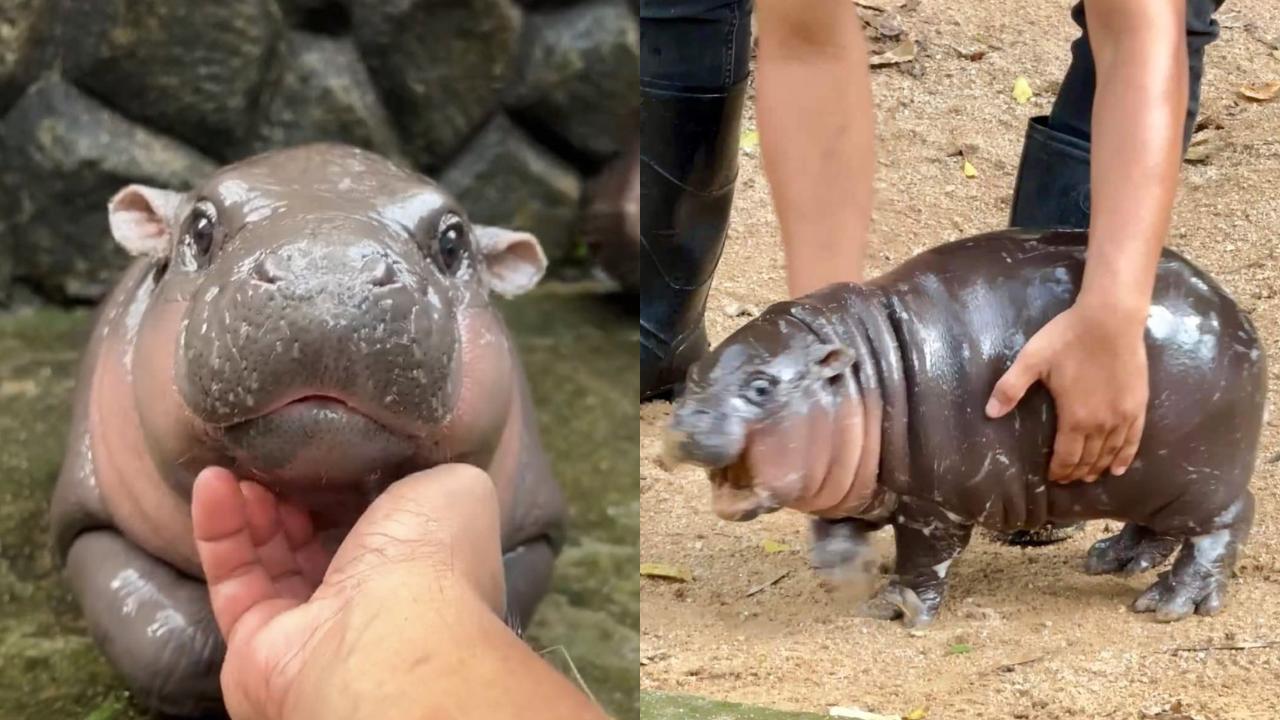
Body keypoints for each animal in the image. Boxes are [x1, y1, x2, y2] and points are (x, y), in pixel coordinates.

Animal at [49, 141, 568, 712]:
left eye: (454, 241)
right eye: (200, 228)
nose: (327, 275)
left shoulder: (537, 533)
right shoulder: (85, 520)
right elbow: (170, 643)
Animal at [665, 228, 1264, 622]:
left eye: (761, 386)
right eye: (693, 374)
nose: (684, 425)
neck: (866, 373)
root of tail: (1238, 316)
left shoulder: (935, 507)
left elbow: (924, 561)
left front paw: (894, 607)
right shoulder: (852, 487)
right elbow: (834, 528)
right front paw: (846, 573)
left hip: (1200, 480)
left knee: (1224, 524)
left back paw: (1168, 604)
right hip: (1148, 479)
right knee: (1158, 528)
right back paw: (1112, 559)